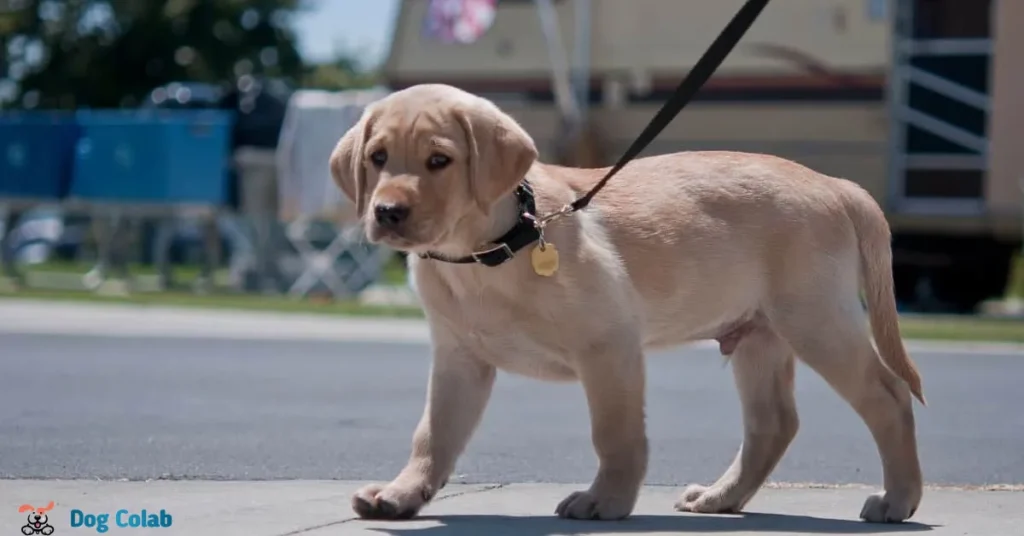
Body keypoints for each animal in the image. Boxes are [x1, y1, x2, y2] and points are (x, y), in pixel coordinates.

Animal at [329, 84, 929, 524]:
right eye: (378, 158)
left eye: (439, 160)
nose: (386, 212)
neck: (486, 251)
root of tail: (836, 185)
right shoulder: (460, 357)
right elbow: (433, 434)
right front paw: (402, 494)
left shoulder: (608, 344)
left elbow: (614, 433)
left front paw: (605, 501)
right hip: (760, 335)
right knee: (774, 423)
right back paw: (720, 498)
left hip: (815, 319)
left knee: (888, 397)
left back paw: (897, 500)